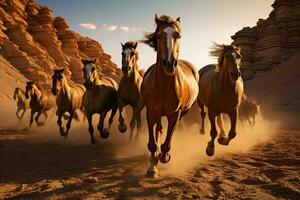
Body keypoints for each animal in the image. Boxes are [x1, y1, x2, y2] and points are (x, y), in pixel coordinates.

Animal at [142, 14, 200, 177]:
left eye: (178, 35)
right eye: (159, 36)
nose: (169, 64)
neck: (163, 87)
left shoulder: (174, 114)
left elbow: (167, 141)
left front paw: (164, 155)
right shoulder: (151, 113)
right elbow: (152, 143)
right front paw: (152, 165)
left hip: (184, 111)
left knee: (173, 129)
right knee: (159, 130)